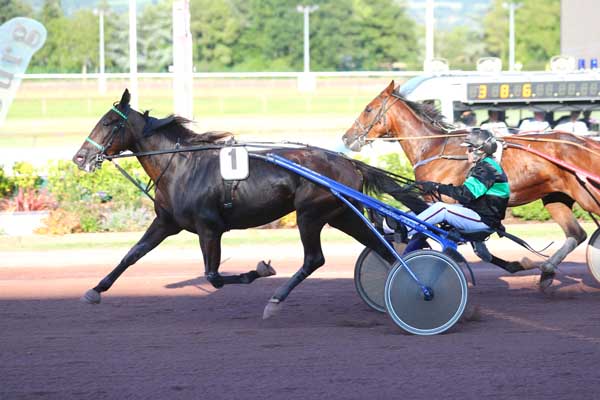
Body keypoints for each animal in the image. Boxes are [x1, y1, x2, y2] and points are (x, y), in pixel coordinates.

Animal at [72, 90, 424, 318]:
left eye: (108, 123)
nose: (79, 157)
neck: (181, 166)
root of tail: (348, 163)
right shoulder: (166, 222)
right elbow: (132, 255)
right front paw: (95, 290)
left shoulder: (209, 228)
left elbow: (213, 276)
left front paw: (259, 270)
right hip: (341, 214)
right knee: (381, 248)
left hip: (309, 214)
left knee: (315, 259)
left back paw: (276, 300)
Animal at [340, 81, 600, 288]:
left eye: (368, 109)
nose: (346, 137)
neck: (434, 148)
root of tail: (587, 143)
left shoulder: (447, 200)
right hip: (555, 197)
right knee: (576, 234)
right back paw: (546, 271)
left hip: (587, 195)